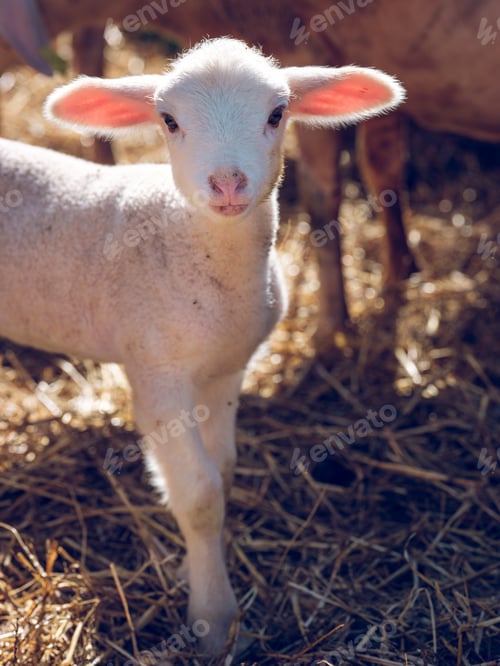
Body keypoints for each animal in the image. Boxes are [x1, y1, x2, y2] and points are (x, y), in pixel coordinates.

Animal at [0, 37, 404, 654]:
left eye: (277, 113)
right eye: (168, 121)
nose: (229, 183)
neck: (192, 244)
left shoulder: (227, 369)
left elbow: (227, 470)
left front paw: (194, 572)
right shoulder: (157, 377)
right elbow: (200, 495)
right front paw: (214, 620)